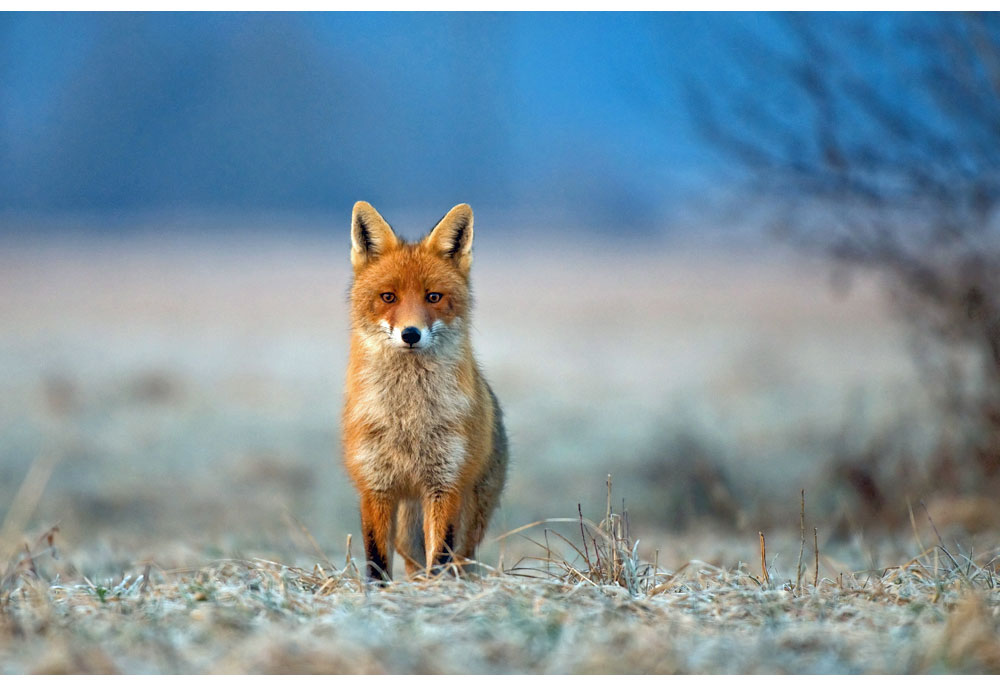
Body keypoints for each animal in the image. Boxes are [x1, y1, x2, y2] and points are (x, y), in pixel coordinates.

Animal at [344, 202, 512, 584]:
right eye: (388, 297)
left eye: (433, 297)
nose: (410, 334)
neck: (408, 418)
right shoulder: (375, 486)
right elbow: (376, 558)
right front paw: (379, 593)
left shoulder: (445, 484)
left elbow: (441, 554)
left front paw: (436, 593)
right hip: (407, 529)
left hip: (470, 516)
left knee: (461, 558)